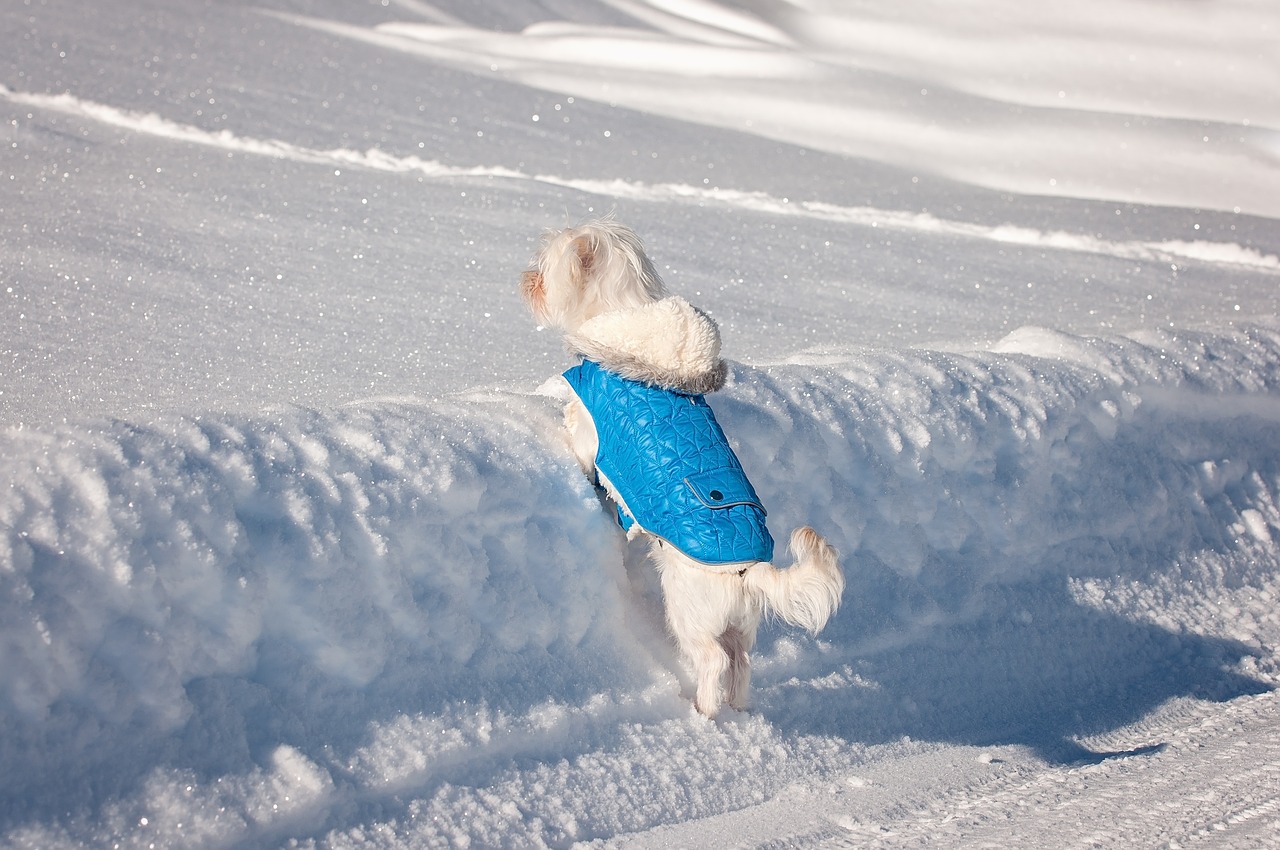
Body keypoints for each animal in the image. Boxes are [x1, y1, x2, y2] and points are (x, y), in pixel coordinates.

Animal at [519, 216, 839, 711]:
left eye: (545, 266)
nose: (527, 280)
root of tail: (748, 571)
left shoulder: (591, 432)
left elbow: (579, 442)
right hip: (740, 623)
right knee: (743, 661)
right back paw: (737, 707)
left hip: (690, 611)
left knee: (714, 661)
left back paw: (703, 711)